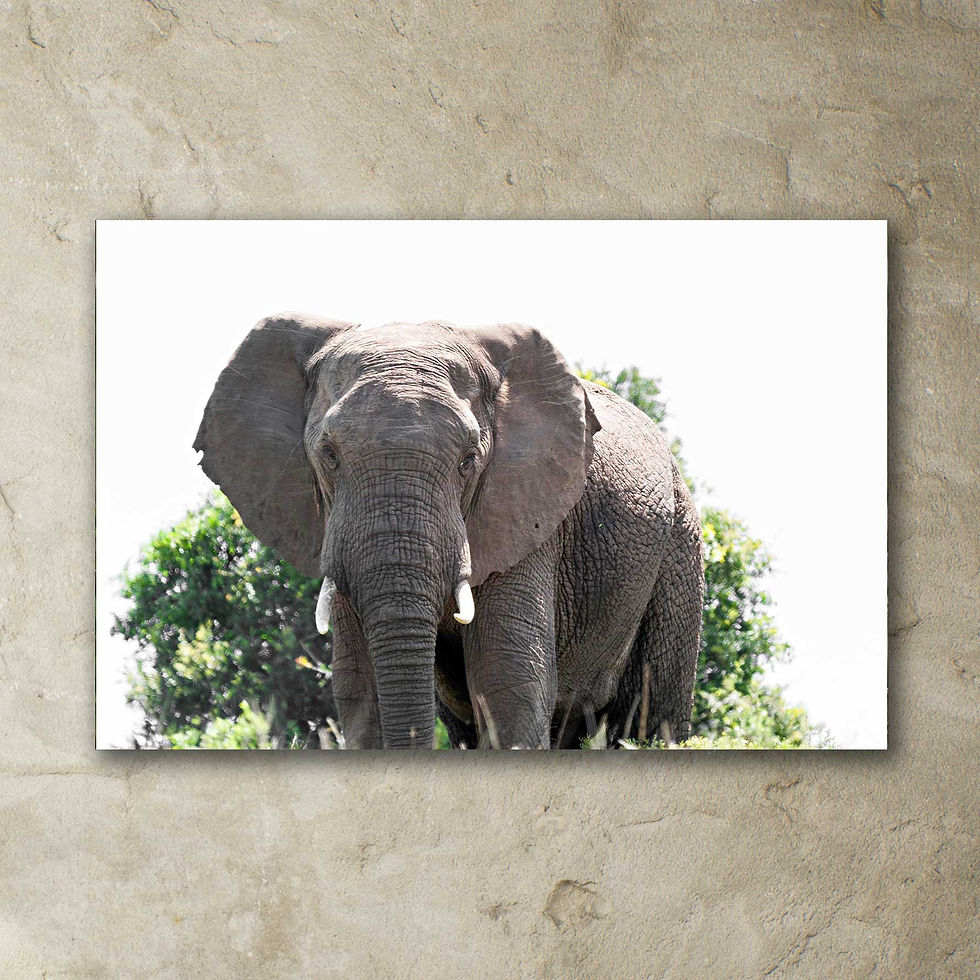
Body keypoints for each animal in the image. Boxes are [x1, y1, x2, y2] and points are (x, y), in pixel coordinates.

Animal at [194, 314, 704, 749]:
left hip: (680, 546)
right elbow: (359, 685)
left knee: (654, 710)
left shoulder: (528, 517)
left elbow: (505, 676)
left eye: (468, 461)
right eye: (329, 455)